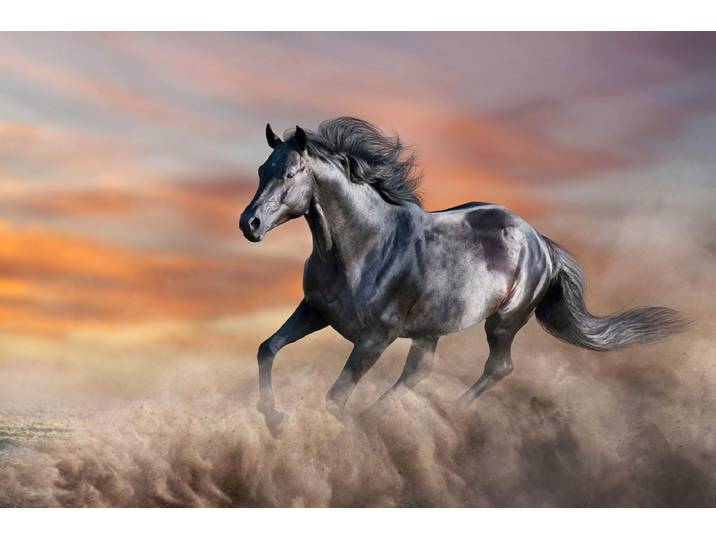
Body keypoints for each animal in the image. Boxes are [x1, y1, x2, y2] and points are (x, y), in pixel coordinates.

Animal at [239, 117, 687, 434]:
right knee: (418, 372)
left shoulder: (375, 338)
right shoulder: (315, 311)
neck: (364, 246)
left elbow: (334, 398)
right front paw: (274, 420)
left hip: (504, 321)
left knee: (498, 368)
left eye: (291, 173)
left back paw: (446, 416)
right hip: (431, 329)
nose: (250, 223)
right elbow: (267, 349)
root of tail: (540, 241)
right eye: (262, 169)